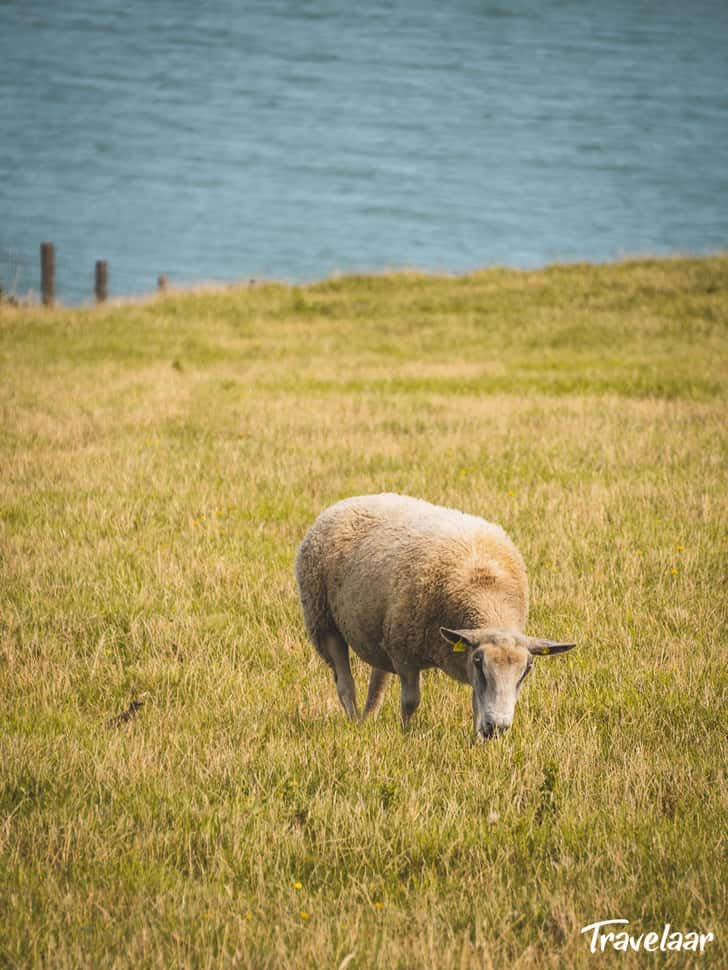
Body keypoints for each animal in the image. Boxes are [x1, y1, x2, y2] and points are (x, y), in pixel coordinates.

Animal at [294, 496, 576, 736]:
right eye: (479, 663)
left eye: (527, 669)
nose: (496, 728)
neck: (486, 588)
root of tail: (345, 502)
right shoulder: (405, 653)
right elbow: (410, 701)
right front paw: (406, 734)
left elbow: (476, 701)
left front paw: (477, 740)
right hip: (323, 619)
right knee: (345, 682)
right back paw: (354, 722)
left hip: (380, 629)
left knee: (378, 681)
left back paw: (367, 718)